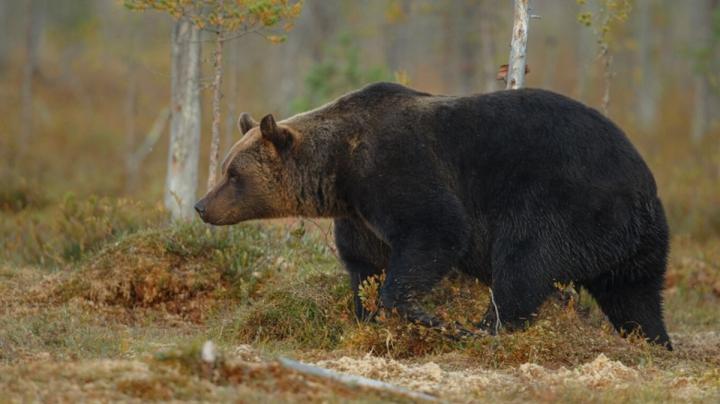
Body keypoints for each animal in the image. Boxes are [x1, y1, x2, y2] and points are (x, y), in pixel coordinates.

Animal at [194, 82, 672, 349]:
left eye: (233, 173)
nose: (201, 205)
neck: (339, 170)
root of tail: (643, 184)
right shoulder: (359, 216)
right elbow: (364, 266)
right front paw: (366, 317)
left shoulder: (398, 169)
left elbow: (436, 231)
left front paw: (427, 317)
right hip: (634, 241)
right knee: (636, 296)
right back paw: (654, 343)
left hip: (565, 203)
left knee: (523, 265)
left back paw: (482, 330)